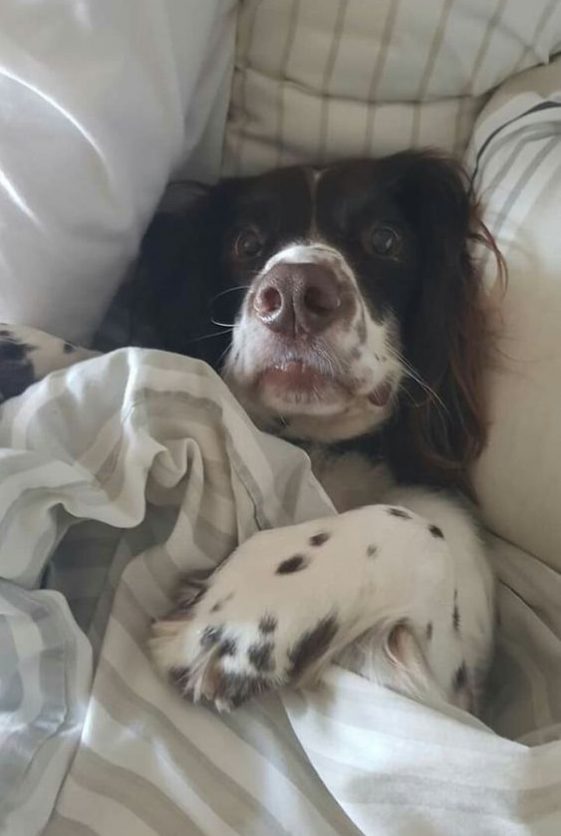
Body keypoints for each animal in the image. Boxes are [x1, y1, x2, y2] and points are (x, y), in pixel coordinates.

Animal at [142, 149, 500, 712]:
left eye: (385, 239)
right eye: (245, 242)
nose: (293, 294)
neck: (321, 443)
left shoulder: (451, 680)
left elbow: (417, 525)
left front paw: (231, 623)